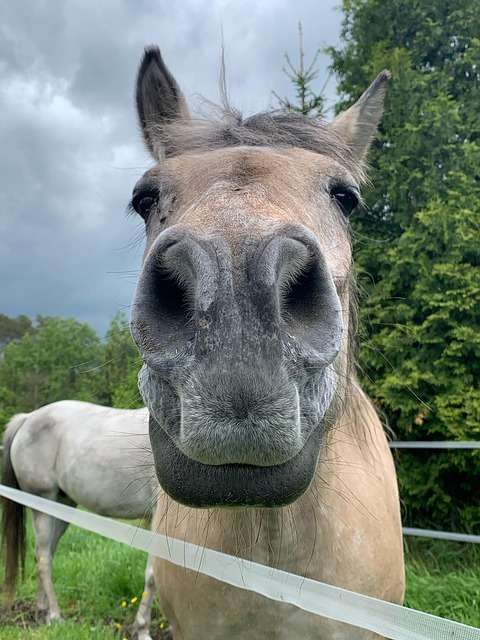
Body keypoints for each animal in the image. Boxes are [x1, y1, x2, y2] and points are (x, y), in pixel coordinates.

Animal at [1, 400, 158, 640]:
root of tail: (27, 418)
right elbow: (152, 575)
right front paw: (142, 630)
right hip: (43, 502)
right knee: (43, 556)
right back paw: (55, 616)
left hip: (62, 507)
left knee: (46, 554)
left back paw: (43, 612)